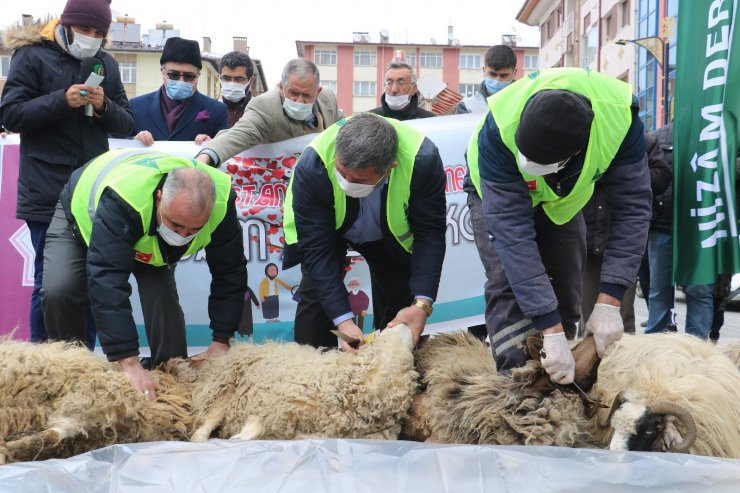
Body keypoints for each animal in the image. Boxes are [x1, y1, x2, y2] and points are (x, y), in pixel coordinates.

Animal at [188, 320, 420, 440]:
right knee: (209, 419)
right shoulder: (272, 403)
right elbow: (255, 424)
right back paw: (200, 438)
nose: (404, 320)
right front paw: (240, 437)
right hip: (224, 388)